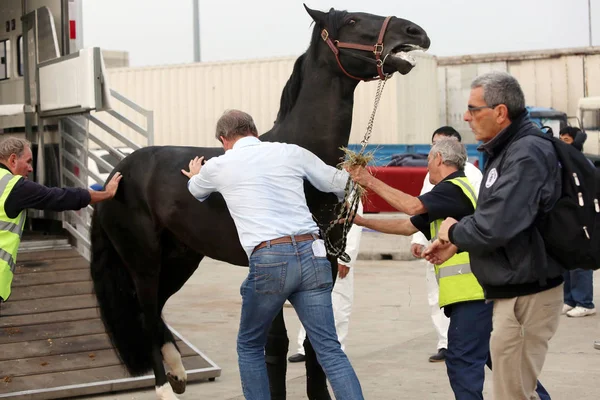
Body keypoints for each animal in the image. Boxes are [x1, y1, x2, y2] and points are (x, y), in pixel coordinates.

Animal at [89, 3, 428, 400]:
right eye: (352, 20)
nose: (415, 32)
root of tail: (116, 173)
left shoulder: (326, 263)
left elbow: (316, 344)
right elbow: (277, 345)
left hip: (180, 259)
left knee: (156, 310)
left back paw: (178, 373)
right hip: (143, 260)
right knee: (145, 313)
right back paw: (164, 386)